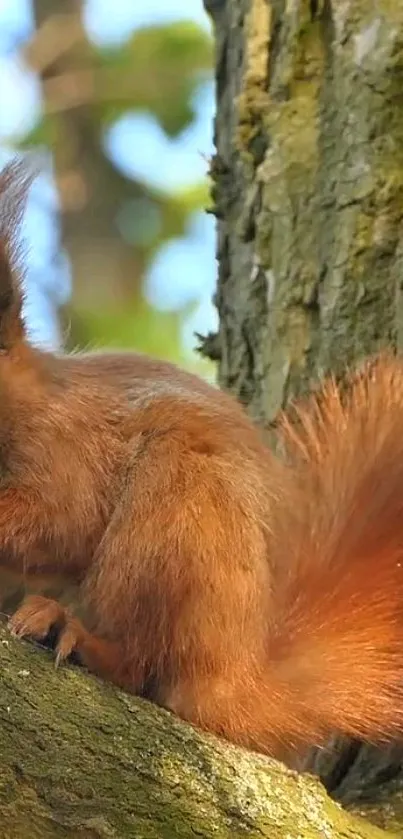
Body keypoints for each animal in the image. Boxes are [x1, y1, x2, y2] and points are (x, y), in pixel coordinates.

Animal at [0, 161, 403, 764]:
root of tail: (238, 677)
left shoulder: (64, 445)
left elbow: (60, 520)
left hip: (175, 520)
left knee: (139, 662)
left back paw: (72, 633)